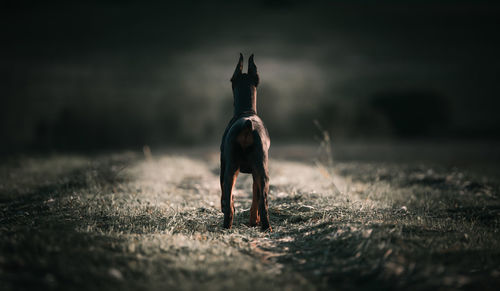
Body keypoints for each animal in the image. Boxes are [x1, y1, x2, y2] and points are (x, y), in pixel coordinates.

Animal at [221, 53, 272, 232]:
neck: (246, 111)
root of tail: (247, 124)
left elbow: (227, 198)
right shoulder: (256, 173)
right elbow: (255, 198)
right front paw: (253, 221)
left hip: (231, 169)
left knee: (229, 204)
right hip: (262, 172)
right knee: (263, 203)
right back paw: (266, 228)